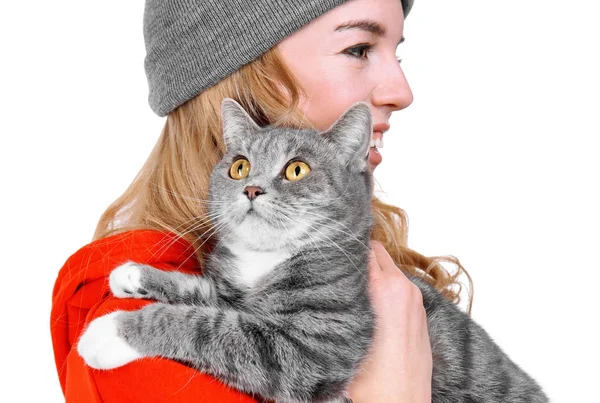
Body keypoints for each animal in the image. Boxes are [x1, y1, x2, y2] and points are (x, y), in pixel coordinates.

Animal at [78, 98, 548, 403]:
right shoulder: (235, 296)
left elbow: (207, 326)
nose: (251, 188)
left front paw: (111, 333)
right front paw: (134, 275)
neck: (265, 258)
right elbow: (205, 295)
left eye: (297, 170)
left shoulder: (311, 345)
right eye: (239, 166)